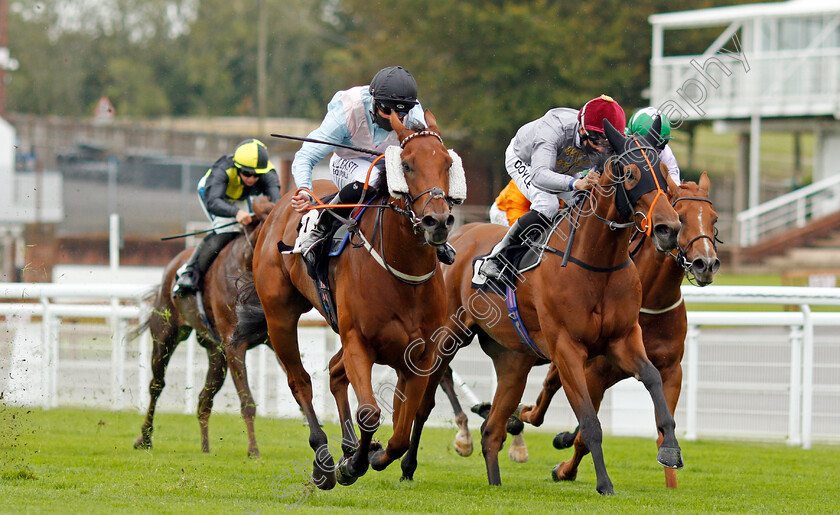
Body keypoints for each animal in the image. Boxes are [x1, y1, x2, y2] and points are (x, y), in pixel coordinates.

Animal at [133, 197, 274, 456]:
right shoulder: (234, 345)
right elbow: (247, 400)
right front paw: (253, 450)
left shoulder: (268, 339)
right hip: (166, 335)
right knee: (157, 385)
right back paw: (145, 438)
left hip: (216, 355)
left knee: (203, 399)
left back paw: (206, 448)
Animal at [233, 111, 460, 490]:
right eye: (407, 165)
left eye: (447, 163)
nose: (437, 221)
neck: (402, 274)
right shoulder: (359, 342)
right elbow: (369, 412)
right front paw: (351, 465)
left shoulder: (420, 354)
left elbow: (401, 431)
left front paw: (371, 455)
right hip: (279, 316)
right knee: (301, 382)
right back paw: (324, 459)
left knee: (335, 372)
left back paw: (349, 447)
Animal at [398, 121, 684, 496]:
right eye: (631, 174)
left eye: (664, 176)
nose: (669, 228)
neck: (597, 263)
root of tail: (457, 237)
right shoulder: (567, 349)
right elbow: (589, 421)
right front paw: (604, 483)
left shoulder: (623, 339)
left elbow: (652, 378)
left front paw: (671, 449)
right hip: (447, 337)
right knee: (425, 404)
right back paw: (407, 465)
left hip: (512, 360)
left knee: (492, 430)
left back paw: (495, 480)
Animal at [520, 172, 720, 488]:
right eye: (682, 217)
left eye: (714, 219)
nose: (706, 264)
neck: (651, 301)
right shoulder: (594, 372)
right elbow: (583, 434)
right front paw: (565, 469)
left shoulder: (671, 370)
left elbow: (663, 426)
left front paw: (672, 477)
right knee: (549, 387)